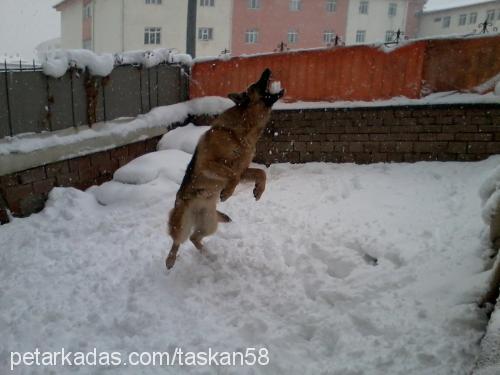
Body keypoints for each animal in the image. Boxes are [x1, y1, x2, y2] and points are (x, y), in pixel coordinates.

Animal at [166, 69, 284, 270]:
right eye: (256, 84)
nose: (267, 70)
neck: (240, 132)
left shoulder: (244, 169)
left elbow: (261, 173)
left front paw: (259, 190)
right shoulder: (209, 164)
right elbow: (233, 175)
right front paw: (227, 193)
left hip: (209, 224)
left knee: (194, 237)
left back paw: (208, 254)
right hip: (181, 223)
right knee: (178, 240)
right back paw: (170, 260)